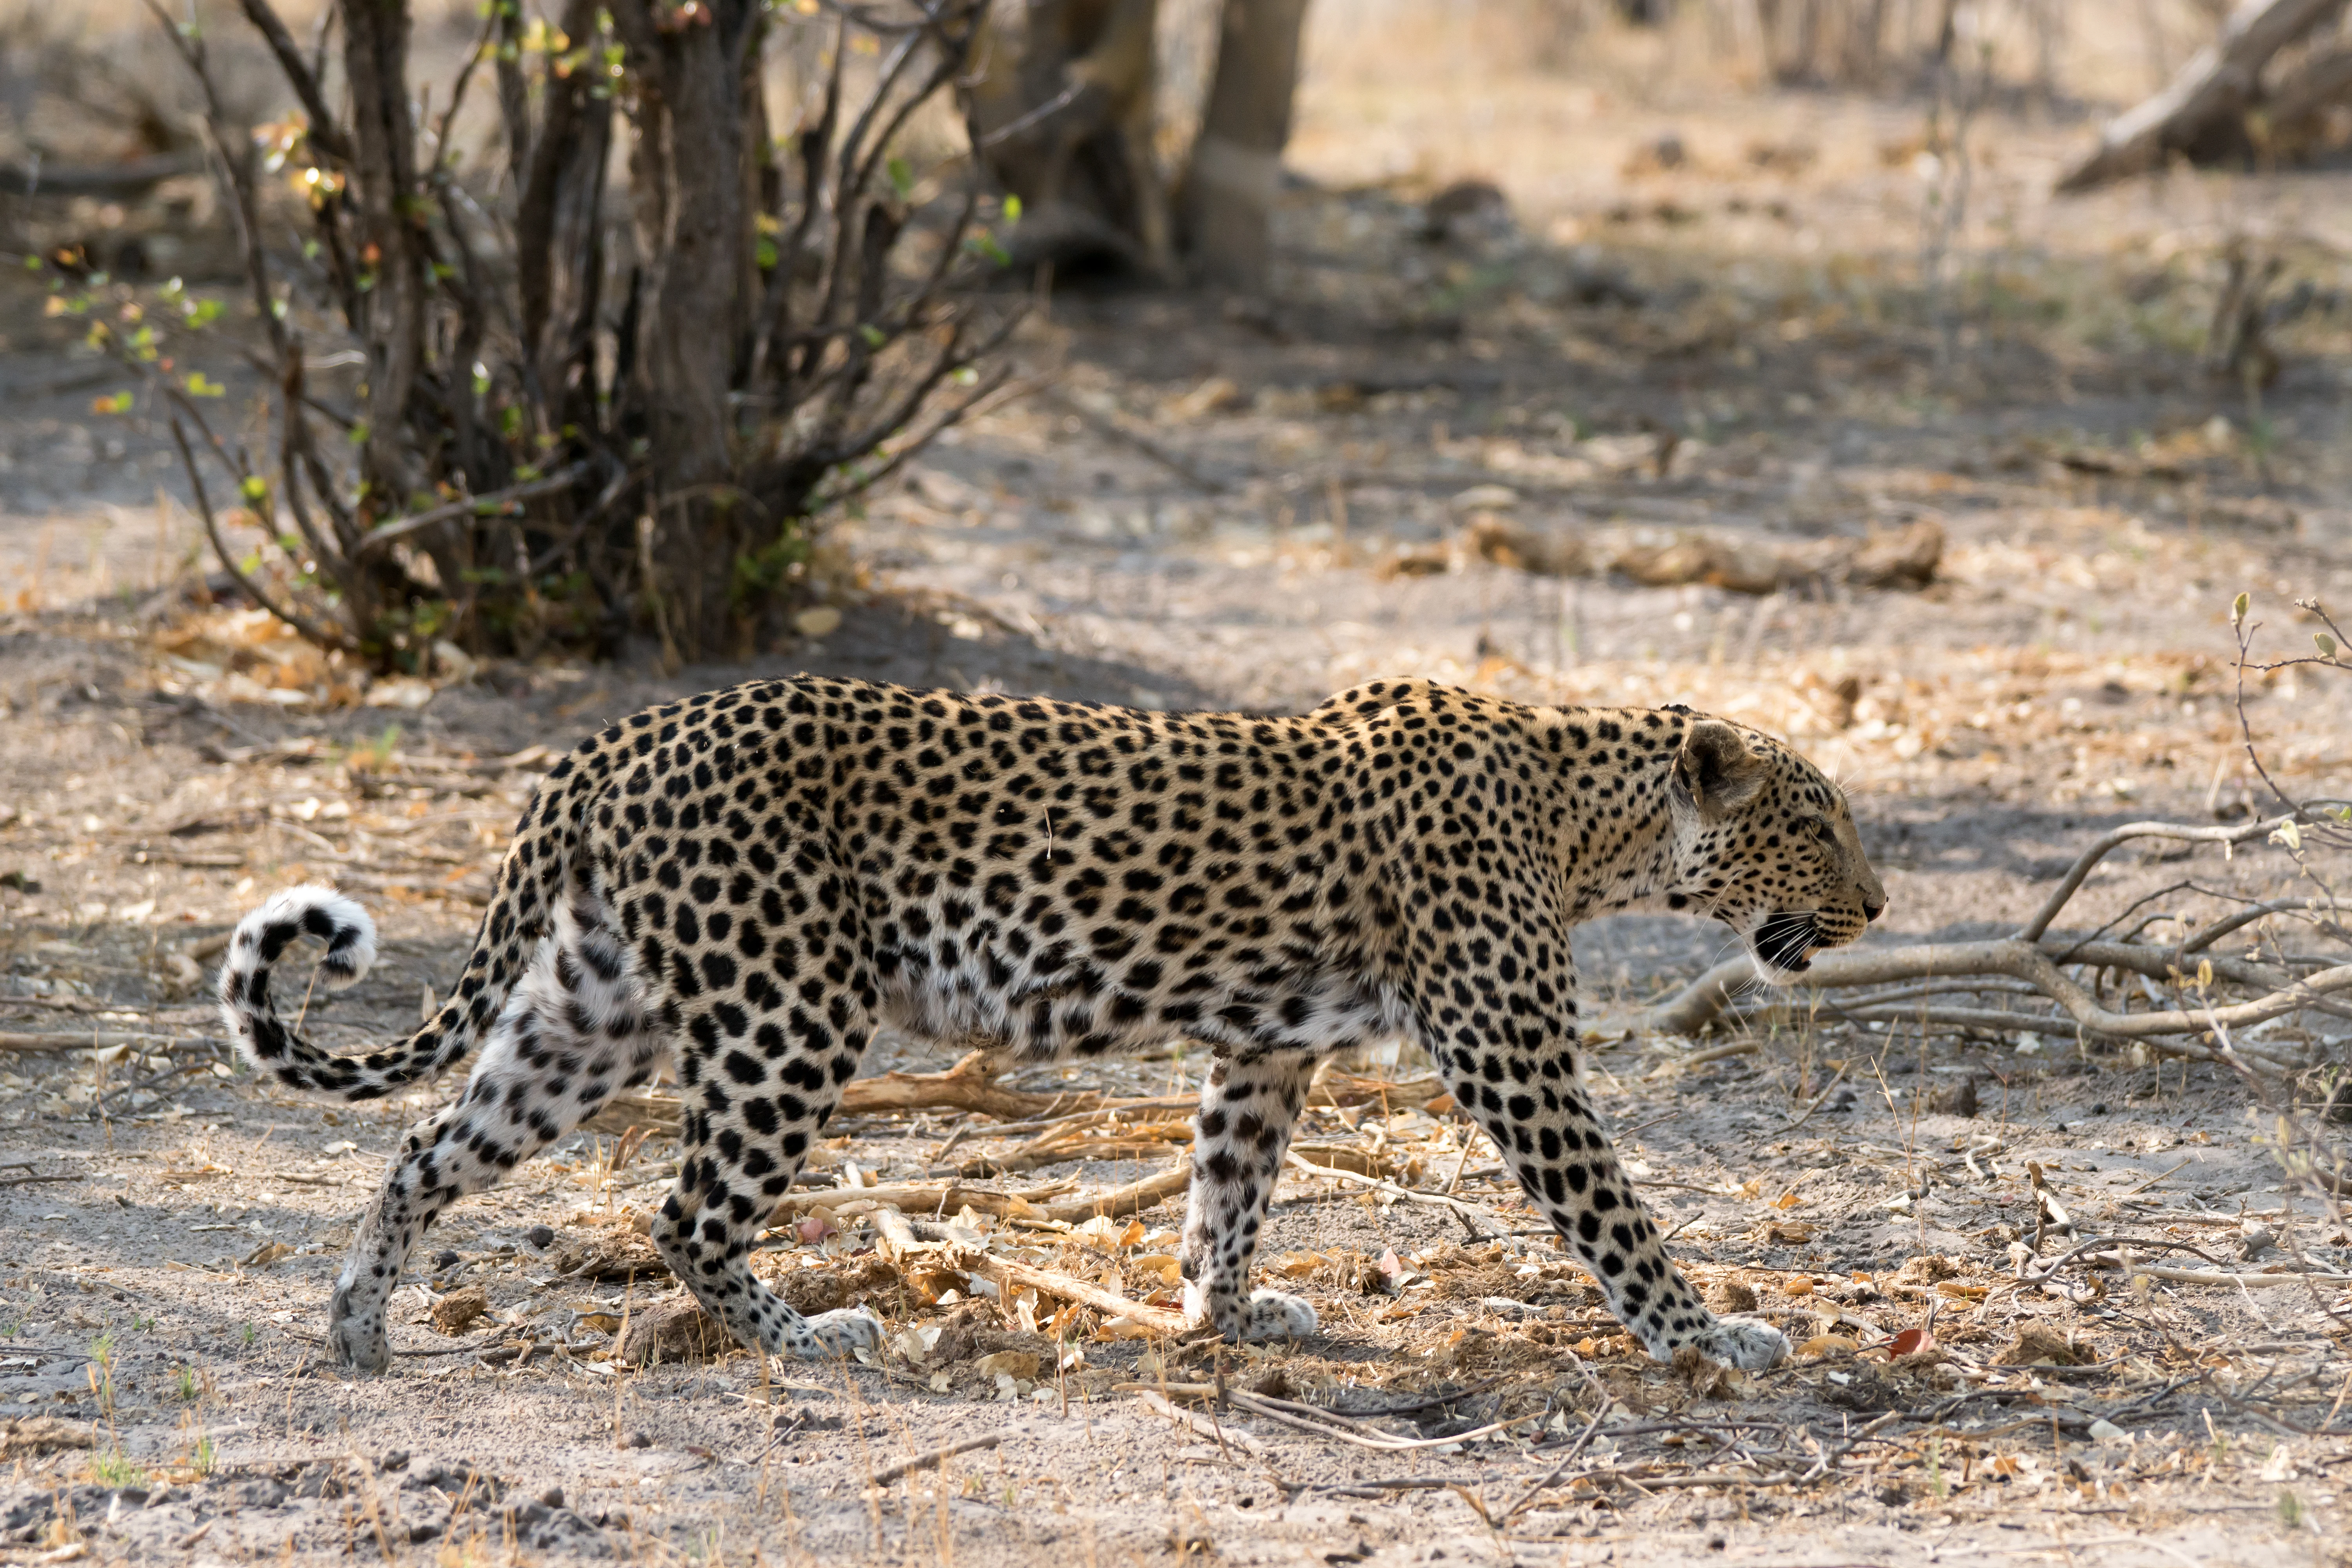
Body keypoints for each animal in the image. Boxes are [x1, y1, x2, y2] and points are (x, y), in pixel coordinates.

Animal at [216, 674, 1884, 1377]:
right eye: (1816, 822)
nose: (1877, 901)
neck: (1590, 817)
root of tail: (617, 736)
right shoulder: (1510, 1049)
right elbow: (1616, 1213)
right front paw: (1710, 1337)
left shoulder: (1265, 1045)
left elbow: (1228, 1187)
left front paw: (1224, 1317)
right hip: (788, 1011)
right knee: (685, 1211)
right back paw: (822, 1340)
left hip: (599, 1005)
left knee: (428, 1146)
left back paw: (357, 1325)